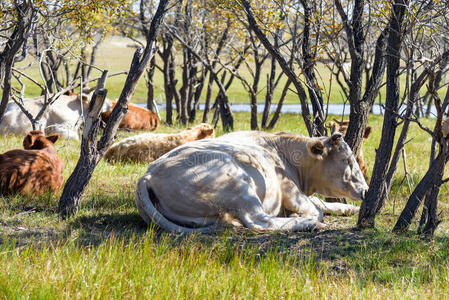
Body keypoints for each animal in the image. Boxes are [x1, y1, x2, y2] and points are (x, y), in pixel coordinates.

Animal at [136, 131, 368, 232]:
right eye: (346, 160)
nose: (366, 189)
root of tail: (149, 174)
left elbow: (320, 202)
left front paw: (348, 208)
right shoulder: (290, 189)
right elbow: (315, 208)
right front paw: (303, 216)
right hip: (239, 184)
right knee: (258, 220)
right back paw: (309, 224)